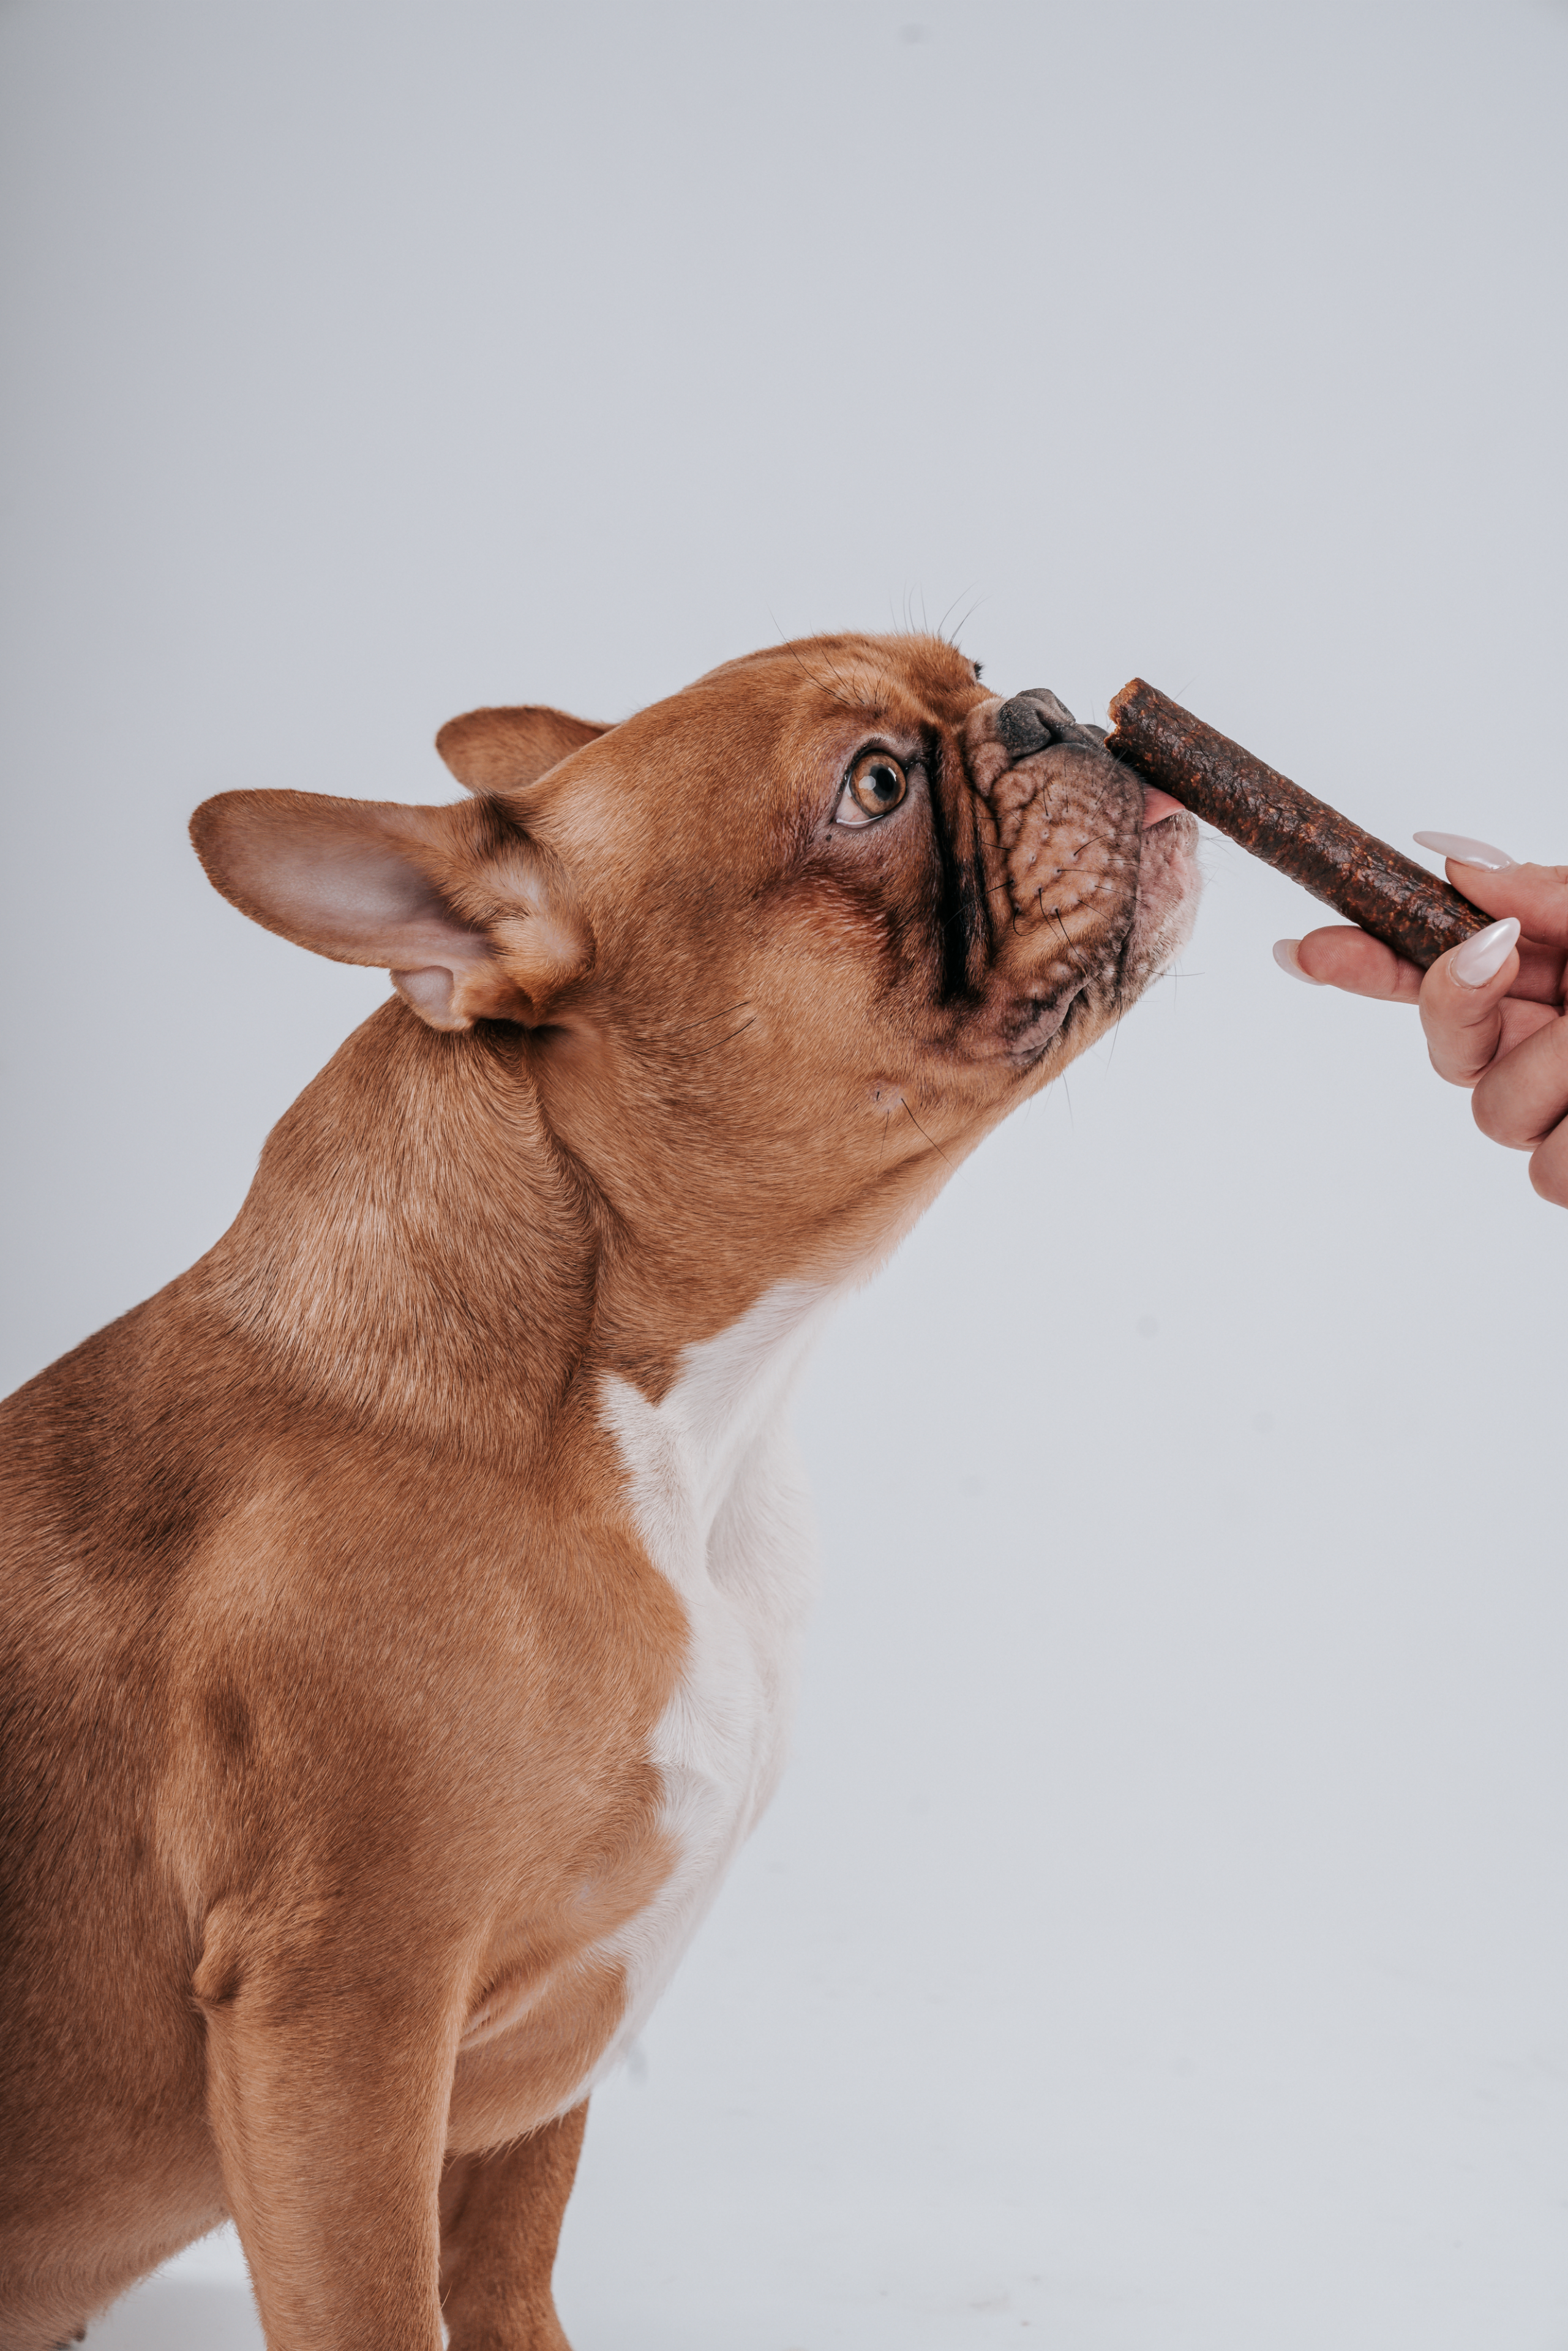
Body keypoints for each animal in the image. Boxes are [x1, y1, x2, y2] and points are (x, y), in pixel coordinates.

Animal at [3, 630, 1203, 2351]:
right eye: (872, 788)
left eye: (968, 671)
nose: (1044, 713)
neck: (641, 1422)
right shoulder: (342, 2017)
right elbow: (378, 2306)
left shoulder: (521, 2079)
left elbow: (503, 2279)